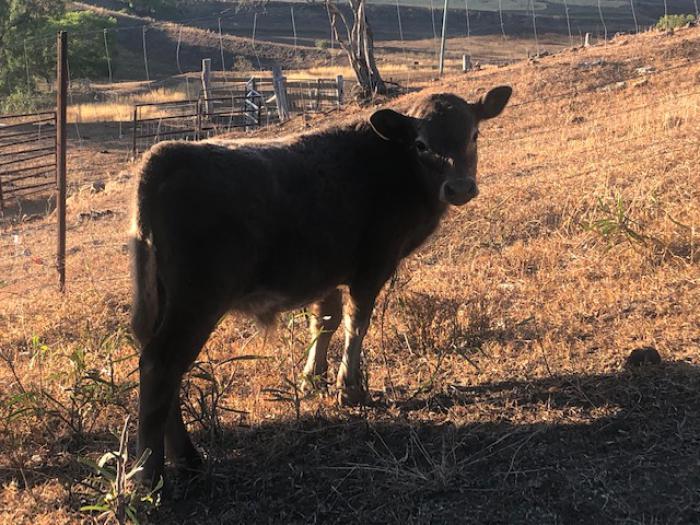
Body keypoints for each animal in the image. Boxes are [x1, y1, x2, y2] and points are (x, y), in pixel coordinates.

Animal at [129, 86, 512, 486]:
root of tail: (166, 154)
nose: (460, 188)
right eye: (421, 144)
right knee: (161, 365)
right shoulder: (373, 265)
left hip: (162, 302)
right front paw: (350, 388)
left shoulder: (327, 271)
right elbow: (356, 323)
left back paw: (184, 459)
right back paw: (149, 474)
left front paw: (313, 379)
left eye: (474, 135)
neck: (393, 164)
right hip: (197, 301)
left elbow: (324, 321)